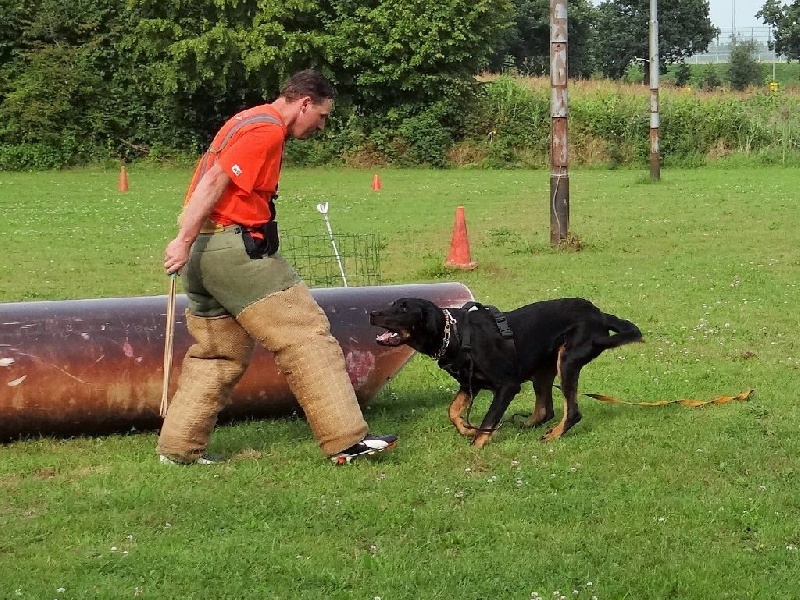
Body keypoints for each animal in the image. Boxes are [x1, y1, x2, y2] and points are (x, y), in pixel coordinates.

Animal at [370, 298, 644, 448]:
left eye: (404, 309)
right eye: (392, 304)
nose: (372, 313)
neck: (455, 335)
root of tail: (600, 314)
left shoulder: (507, 386)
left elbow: (488, 419)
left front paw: (476, 445)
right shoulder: (469, 385)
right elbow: (453, 411)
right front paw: (467, 429)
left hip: (566, 361)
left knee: (572, 411)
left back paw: (553, 435)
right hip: (542, 369)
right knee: (545, 410)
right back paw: (524, 425)